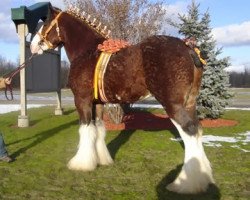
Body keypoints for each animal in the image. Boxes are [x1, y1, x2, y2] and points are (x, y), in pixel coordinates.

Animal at [30, 4, 214, 195]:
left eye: (45, 24)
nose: (33, 46)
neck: (88, 51)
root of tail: (187, 47)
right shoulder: (98, 104)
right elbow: (98, 129)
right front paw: (101, 160)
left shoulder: (82, 100)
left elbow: (85, 129)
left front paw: (81, 164)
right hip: (190, 103)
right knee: (198, 130)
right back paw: (203, 179)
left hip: (173, 105)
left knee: (189, 131)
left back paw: (184, 184)